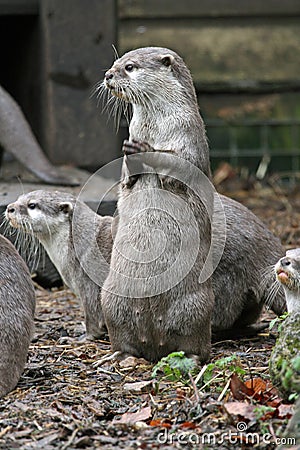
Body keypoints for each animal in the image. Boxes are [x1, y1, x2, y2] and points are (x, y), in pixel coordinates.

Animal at [5, 191, 113, 342]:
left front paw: (79, 338)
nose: (10, 208)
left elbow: (93, 314)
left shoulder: (87, 280)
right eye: (19, 199)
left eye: (32, 205)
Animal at [100, 46, 286, 362]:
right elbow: (127, 179)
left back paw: (193, 356)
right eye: (115, 63)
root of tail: (155, 343)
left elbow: (178, 165)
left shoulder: (189, 135)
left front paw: (146, 149)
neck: (158, 125)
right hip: (111, 298)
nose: (107, 75)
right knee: (123, 338)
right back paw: (119, 356)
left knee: (197, 342)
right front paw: (131, 154)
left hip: (197, 304)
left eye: (130, 67)